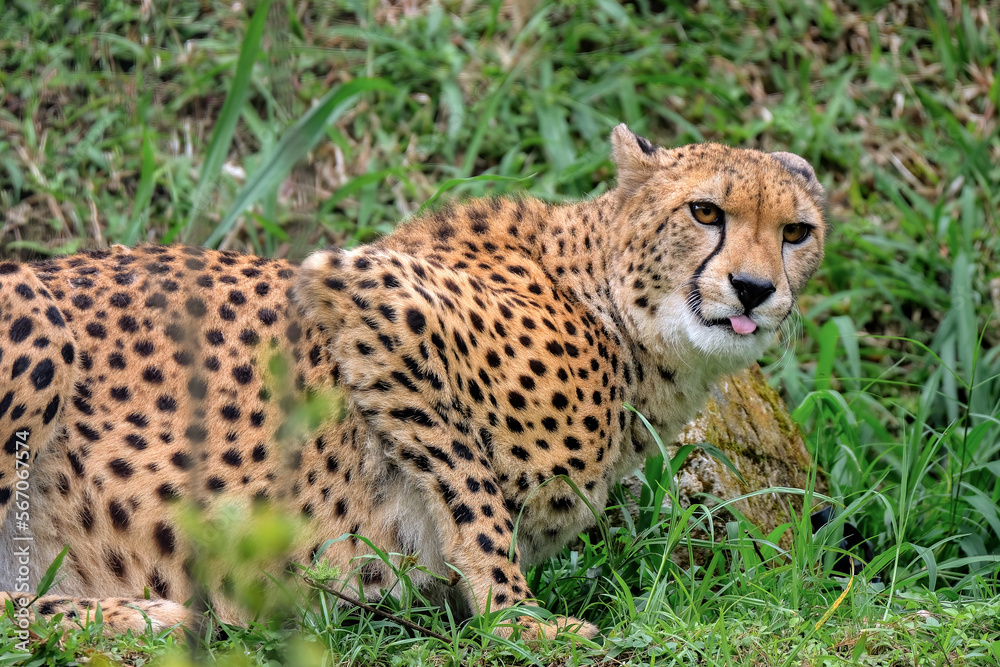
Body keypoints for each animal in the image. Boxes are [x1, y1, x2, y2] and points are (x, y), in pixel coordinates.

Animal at [0, 125, 824, 640]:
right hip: (36, 316)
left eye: (797, 232)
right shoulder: (366, 290)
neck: (620, 316)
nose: (754, 289)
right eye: (705, 211)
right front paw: (521, 619)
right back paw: (147, 616)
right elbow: (474, 495)